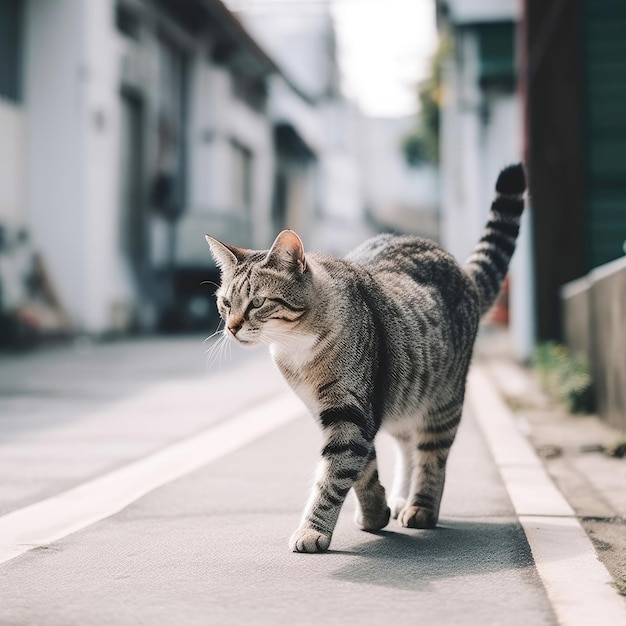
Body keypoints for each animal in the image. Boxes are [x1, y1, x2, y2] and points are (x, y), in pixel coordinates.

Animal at [206, 162, 528, 552]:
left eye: (257, 303)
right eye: (226, 303)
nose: (232, 327)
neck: (295, 349)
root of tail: (456, 265)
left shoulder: (351, 411)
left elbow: (336, 474)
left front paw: (313, 530)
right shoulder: (338, 411)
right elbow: (363, 468)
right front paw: (376, 510)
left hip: (443, 400)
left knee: (432, 455)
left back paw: (421, 506)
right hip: (404, 396)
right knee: (408, 448)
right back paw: (402, 498)